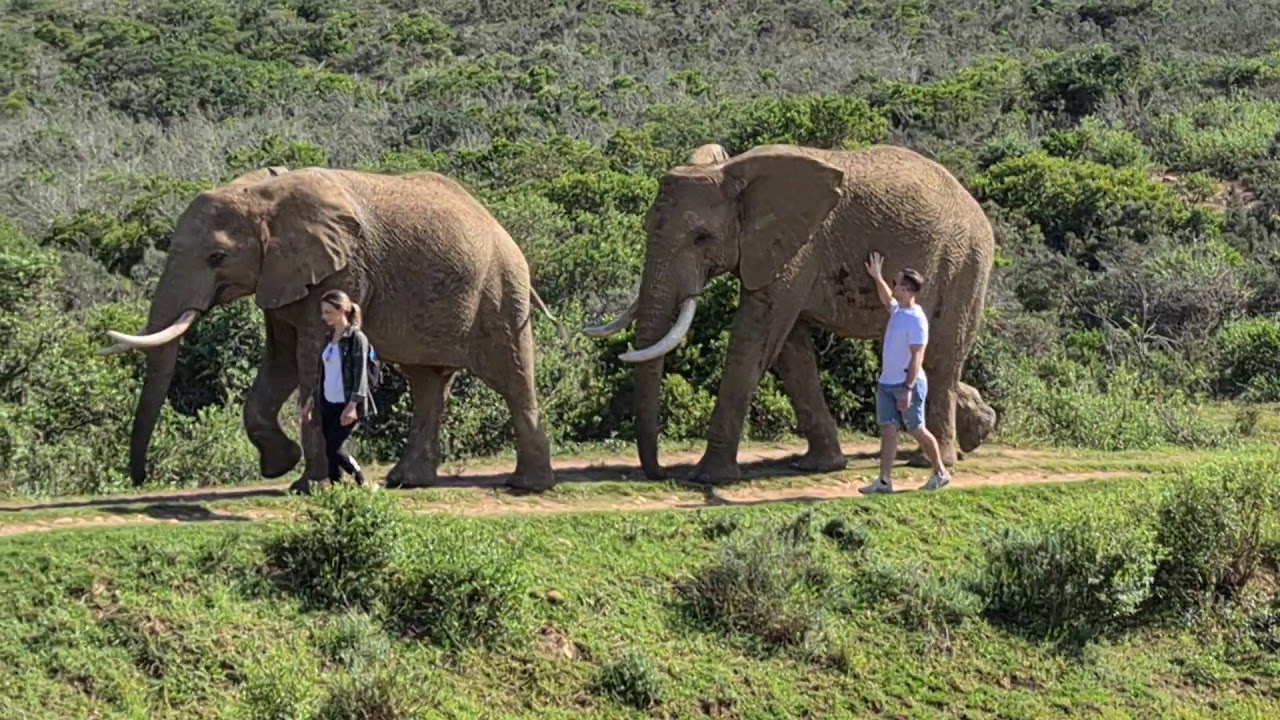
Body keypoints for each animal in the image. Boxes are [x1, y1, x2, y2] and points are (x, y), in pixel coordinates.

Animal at [100, 165, 559, 493]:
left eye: (216, 257)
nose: (139, 479)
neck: (264, 192)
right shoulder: (282, 277)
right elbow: (281, 361)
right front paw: (282, 466)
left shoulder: (342, 271)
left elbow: (307, 359)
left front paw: (308, 487)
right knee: (427, 383)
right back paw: (406, 481)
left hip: (501, 290)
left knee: (512, 378)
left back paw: (527, 486)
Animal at [583, 142, 996, 484]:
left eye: (701, 238)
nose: (657, 473)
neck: (732, 172)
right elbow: (790, 352)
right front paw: (820, 466)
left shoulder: (797, 251)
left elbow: (755, 339)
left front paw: (708, 478)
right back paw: (961, 435)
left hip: (964, 262)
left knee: (942, 357)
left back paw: (934, 460)